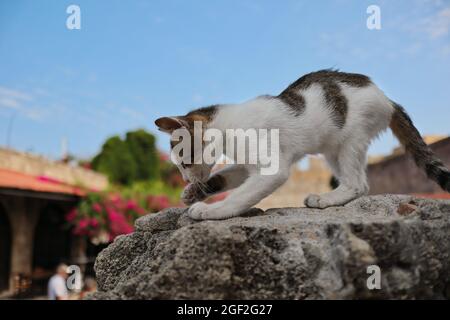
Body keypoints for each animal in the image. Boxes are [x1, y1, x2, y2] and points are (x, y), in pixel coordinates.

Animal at [156, 70, 450, 220]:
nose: (185, 179)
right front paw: (193, 193)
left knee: (358, 184)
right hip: (333, 148)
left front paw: (210, 210)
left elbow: (240, 196)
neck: (229, 126)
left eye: (185, 162)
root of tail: (387, 99)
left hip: (350, 139)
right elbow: (224, 178)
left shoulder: (273, 167)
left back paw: (325, 199)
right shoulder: (247, 165)